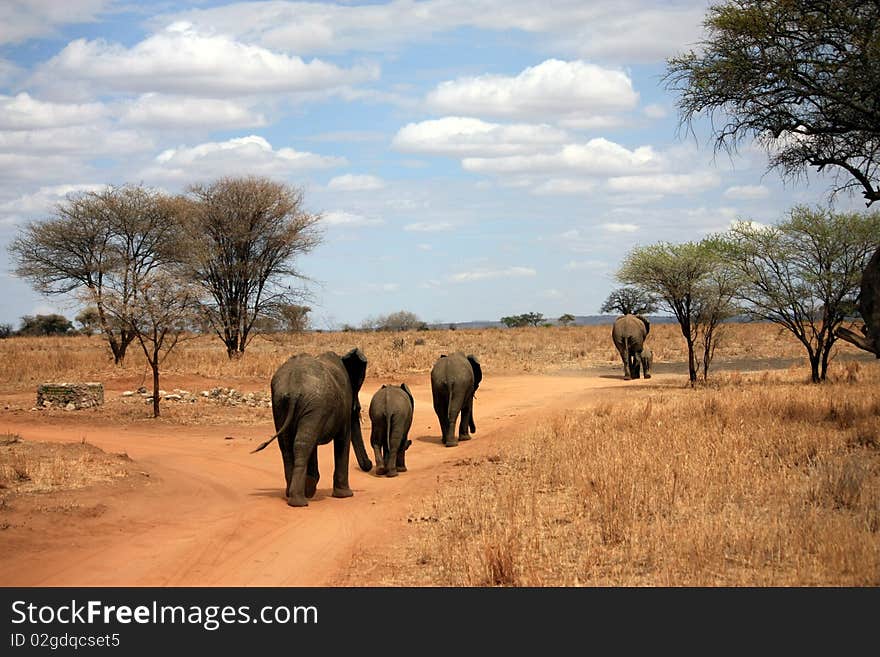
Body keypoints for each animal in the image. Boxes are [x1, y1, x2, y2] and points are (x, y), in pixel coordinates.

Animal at [251, 348, 372, 508]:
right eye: (357, 409)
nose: (370, 465)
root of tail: (294, 388)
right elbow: (342, 440)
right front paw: (345, 495)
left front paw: (311, 488)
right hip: (311, 403)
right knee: (302, 444)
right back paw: (299, 501)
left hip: (281, 403)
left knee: (291, 445)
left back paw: (293, 495)